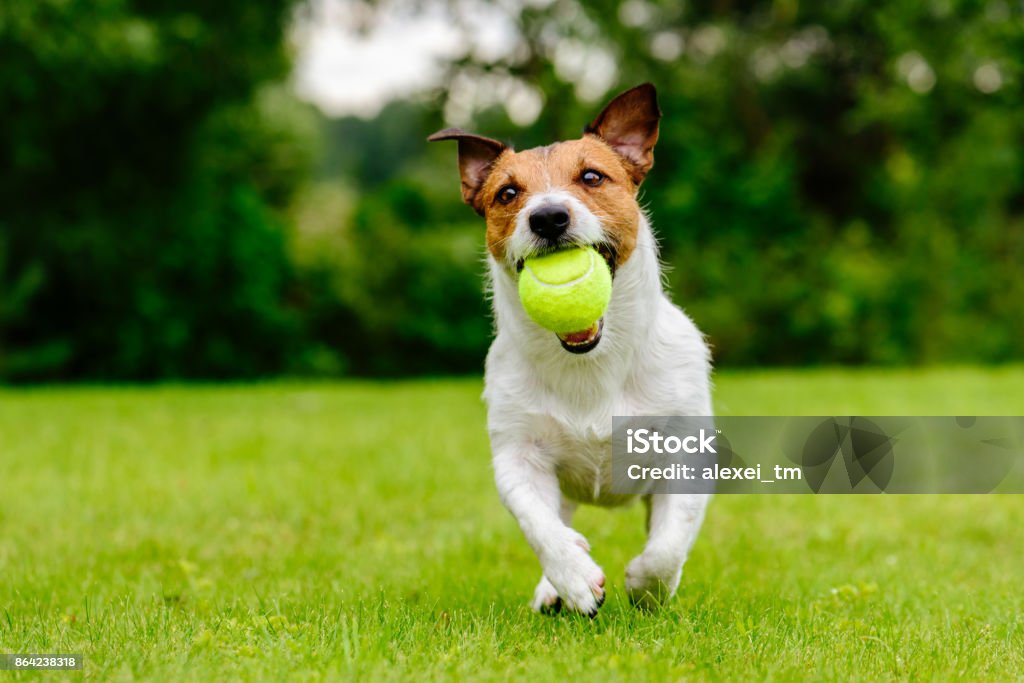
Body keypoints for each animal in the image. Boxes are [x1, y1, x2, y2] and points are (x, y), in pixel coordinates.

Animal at [428, 83, 708, 614]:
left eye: (592, 176)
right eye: (508, 193)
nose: (549, 217)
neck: (591, 362)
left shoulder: (686, 454)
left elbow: (668, 543)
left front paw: (647, 584)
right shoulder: (518, 456)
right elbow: (539, 525)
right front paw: (573, 576)